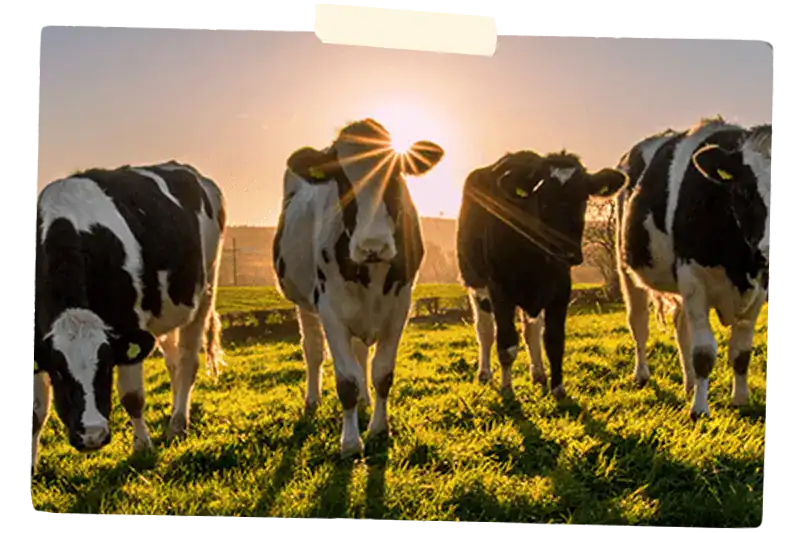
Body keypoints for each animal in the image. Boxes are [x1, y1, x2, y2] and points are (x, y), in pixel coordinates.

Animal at [28, 161, 226, 510]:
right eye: (59, 372)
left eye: (106, 366)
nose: (92, 436)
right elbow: (33, 415)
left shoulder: (129, 326)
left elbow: (132, 398)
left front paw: (142, 448)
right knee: (174, 364)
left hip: (204, 289)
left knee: (187, 362)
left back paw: (178, 424)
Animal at [272, 118, 444, 457]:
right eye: (341, 179)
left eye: (397, 174)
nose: (372, 246)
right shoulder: (330, 310)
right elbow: (346, 380)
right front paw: (350, 442)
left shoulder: (399, 308)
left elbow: (382, 372)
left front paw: (378, 429)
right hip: (303, 302)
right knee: (313, 351)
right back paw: (312, 399)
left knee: (360, 351)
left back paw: (365, 400)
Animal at [456, 150, 628, 397]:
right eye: (544, 200)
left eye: (583, 199)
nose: (568, 252)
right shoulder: (500, 290)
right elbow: (506, 344)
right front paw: (507, 389)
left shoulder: (561, 290)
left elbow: (554, 341)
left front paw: (558, 388)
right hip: (475, 282)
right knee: (485, 331)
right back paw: (484, 374)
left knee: (531, 331)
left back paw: (538, 374)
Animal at [615, 116, 776, 420]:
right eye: (744, 191)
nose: (771, 253)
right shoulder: (694, 279)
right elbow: (703, 353)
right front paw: (700, 409)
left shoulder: (759, 290)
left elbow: (741, 352)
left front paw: (740, 399)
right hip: (626, 269)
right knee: (638, 322)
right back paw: (642, 374)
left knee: (681, 331)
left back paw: (689, 383)